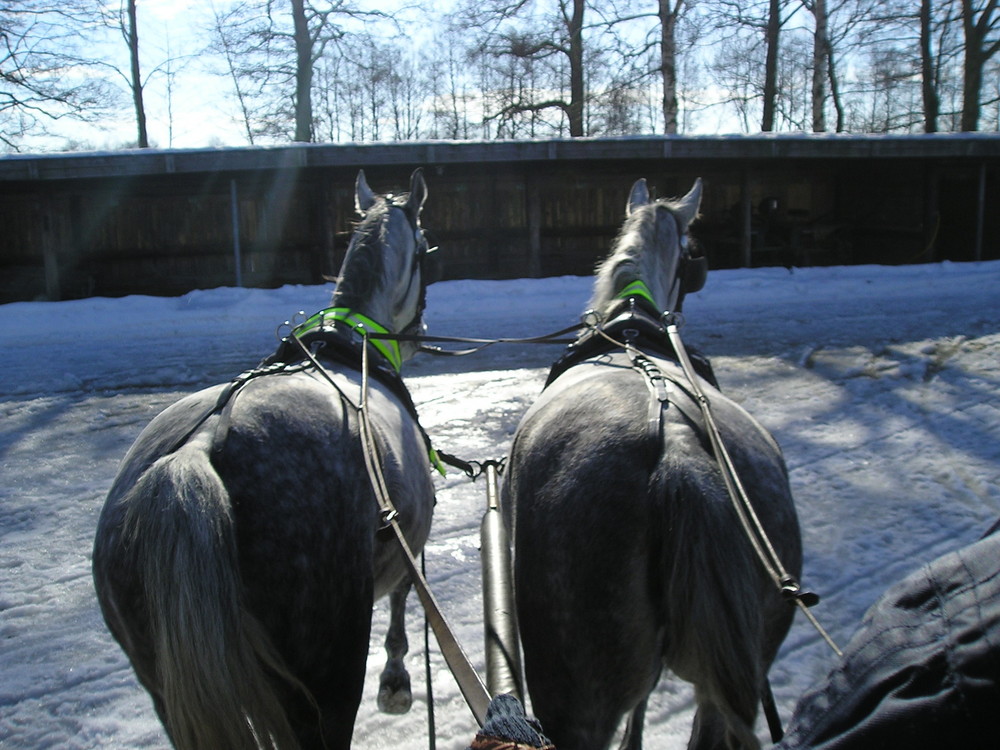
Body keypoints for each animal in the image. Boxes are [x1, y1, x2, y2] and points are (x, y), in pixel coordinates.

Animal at [94, 170, 434, 750]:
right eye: (428, 249)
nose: (419, 334)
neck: (350, 348)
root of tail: (198, 451)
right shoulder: (410, 538)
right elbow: (403, 598)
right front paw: (395, 682)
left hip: (163, 688)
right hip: (326, 678)